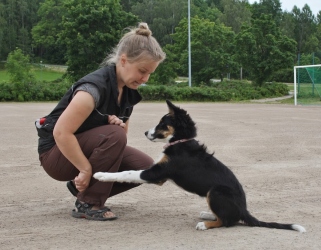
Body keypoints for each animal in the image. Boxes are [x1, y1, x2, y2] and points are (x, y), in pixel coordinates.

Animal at [93, 99, 304, 232]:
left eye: (163, 123)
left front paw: (101, 175)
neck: (181, 142)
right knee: (227, 217)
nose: (145, 132)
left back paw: (205, 224)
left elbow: (127, 173)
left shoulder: (157, 174)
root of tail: (244, 210)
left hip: (216, 191)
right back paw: (207, 214)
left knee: (228, 221)